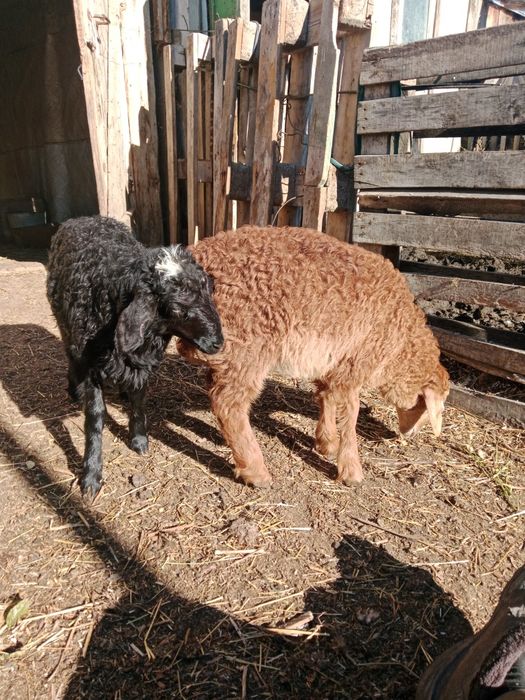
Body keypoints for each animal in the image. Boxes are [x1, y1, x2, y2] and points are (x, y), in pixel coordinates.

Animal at [47, 215, 223, 496]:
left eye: (210, 290)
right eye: (176, 309)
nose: (218, 342)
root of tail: (83, 218)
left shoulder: (143, 364)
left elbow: (139, 399)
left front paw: (139, 439)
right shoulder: (91, 365)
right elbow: (95, 417)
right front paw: (91, 475)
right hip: (67, 328)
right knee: (70, 356)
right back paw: (74, 390)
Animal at [178, 225, 449, 487]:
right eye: (426, 406)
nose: (408, 434)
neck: (399, 342)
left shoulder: (332, 359)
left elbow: (326, 396)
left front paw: (326, 443)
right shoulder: (356, 361)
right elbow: (351, 414)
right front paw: (351, 471)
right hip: (248, 346)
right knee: (228, 404)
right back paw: (257, 473)